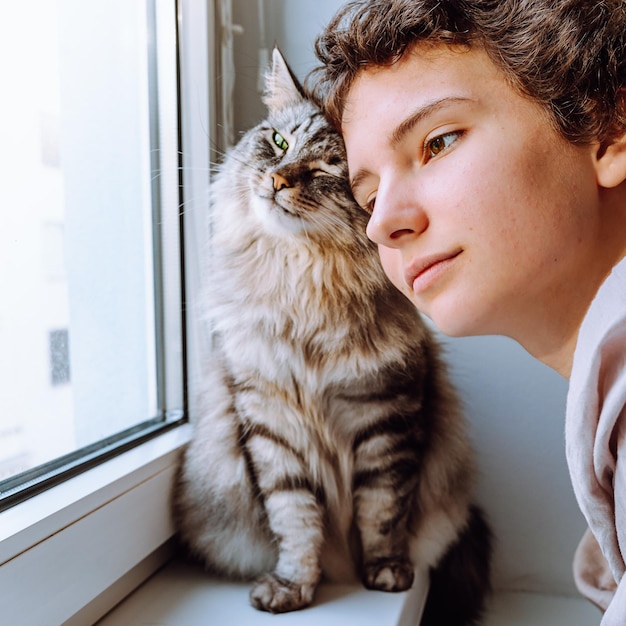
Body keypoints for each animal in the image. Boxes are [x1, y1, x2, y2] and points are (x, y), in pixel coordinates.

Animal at [172, 46, 492, 620]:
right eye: (280, 143)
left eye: (327, 170)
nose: (278, 180)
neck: (304, 285)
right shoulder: (270, 421)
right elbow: (295, 520)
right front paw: (293, 587)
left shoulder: (386, 415)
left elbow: (382, 511)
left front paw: (386, 574)